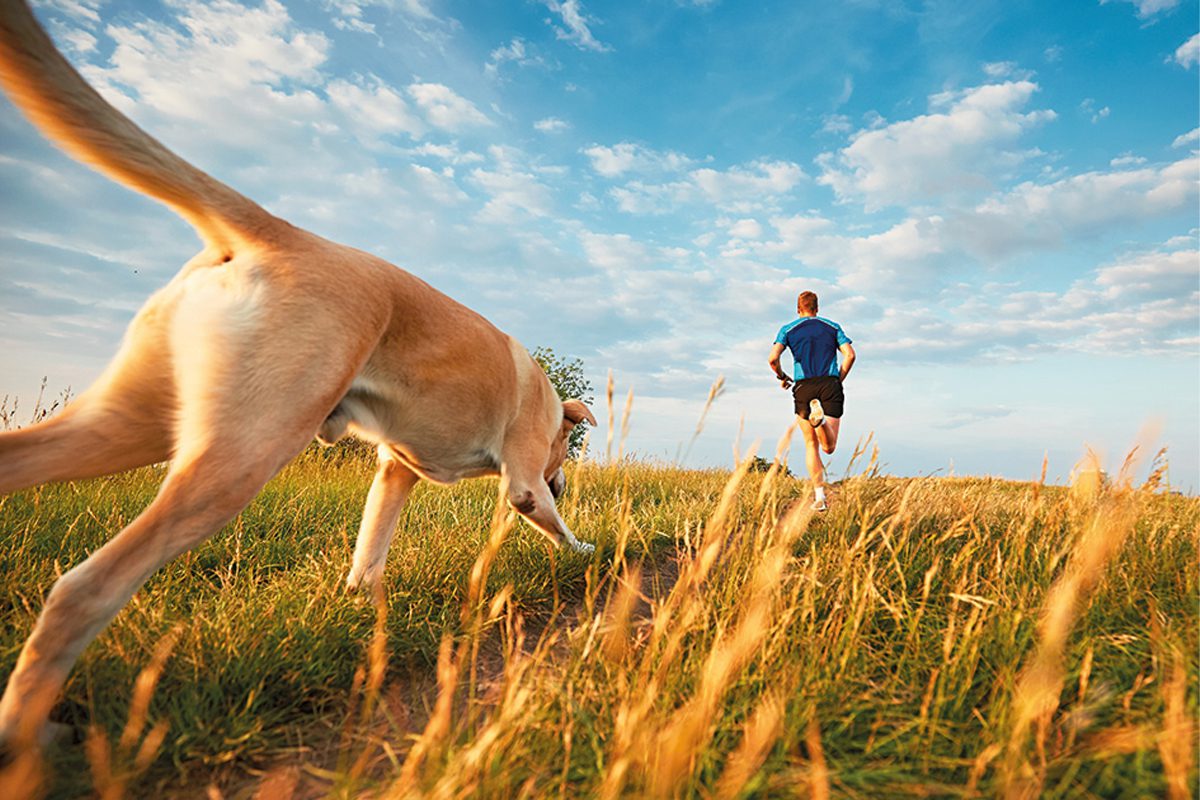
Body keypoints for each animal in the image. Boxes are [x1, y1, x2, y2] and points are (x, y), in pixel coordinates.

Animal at [0, 0, 597, 748]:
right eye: (562, 454)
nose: (565, 479)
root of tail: (278, 231)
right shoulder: (520, 483)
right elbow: (555, 527)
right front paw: (589, 549)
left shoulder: (395, 472)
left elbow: (370, 550)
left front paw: (365, 606)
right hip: (241, 454)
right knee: (84, 590)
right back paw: (28, 732)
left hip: (126, 425)